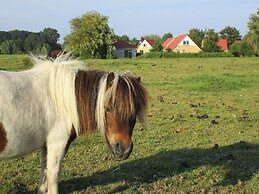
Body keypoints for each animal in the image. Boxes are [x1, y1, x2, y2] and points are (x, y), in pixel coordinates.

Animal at [0, 55, 148, 194]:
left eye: (135, 109)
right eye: (108, 108)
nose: (123, 150)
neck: (61, 100)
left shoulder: (46, 146)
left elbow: (43, 177)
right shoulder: (57, 144)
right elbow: (53, 176)